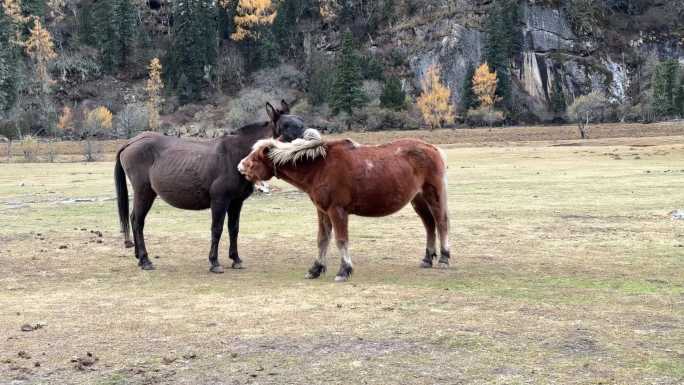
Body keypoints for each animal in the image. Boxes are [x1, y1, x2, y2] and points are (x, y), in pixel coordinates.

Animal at [116, 100, 306, 272]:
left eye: (301, 122)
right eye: (286, 126)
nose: (307, 139)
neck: (237, 155)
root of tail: (132, 141)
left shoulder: (236, 202)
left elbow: (233, 229)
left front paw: (235, 259)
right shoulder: (219, 201)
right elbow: (217, 229)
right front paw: (214, 262)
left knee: (134, 219)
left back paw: (139, 257)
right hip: (144, 193)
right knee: (138, 221)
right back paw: (145, 260)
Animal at [238, 133, 452, 282]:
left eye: (255, 158)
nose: (240, 167)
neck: (320, 167)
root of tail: (433, 148)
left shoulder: (337, 211)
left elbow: (341, 240)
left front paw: (344, 270)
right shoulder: (322, 211)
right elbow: (322, 239)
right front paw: (315, 269)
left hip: (434, 196)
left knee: (441, 223)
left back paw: (444, 258)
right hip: (418, 200)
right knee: (429, 225)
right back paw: (427, 259)